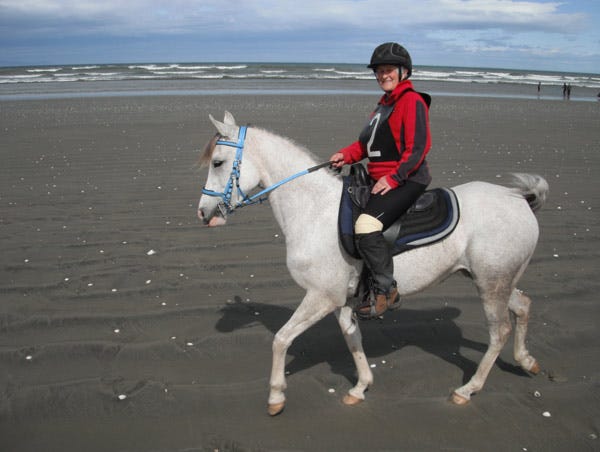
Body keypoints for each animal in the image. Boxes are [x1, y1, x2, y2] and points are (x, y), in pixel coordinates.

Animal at [197, 112, 548, 416]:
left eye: (218, 162)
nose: (203, 212)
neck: (314, 210)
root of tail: (519, 200)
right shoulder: (341, 300)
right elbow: (352, 337)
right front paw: (360, 387)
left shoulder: (321, 297)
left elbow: (281, 339)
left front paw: (275, 395)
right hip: (496, 281)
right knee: (523, 306)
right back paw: (526, 360)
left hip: (491, 284)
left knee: (500, 331)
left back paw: (468, 389)